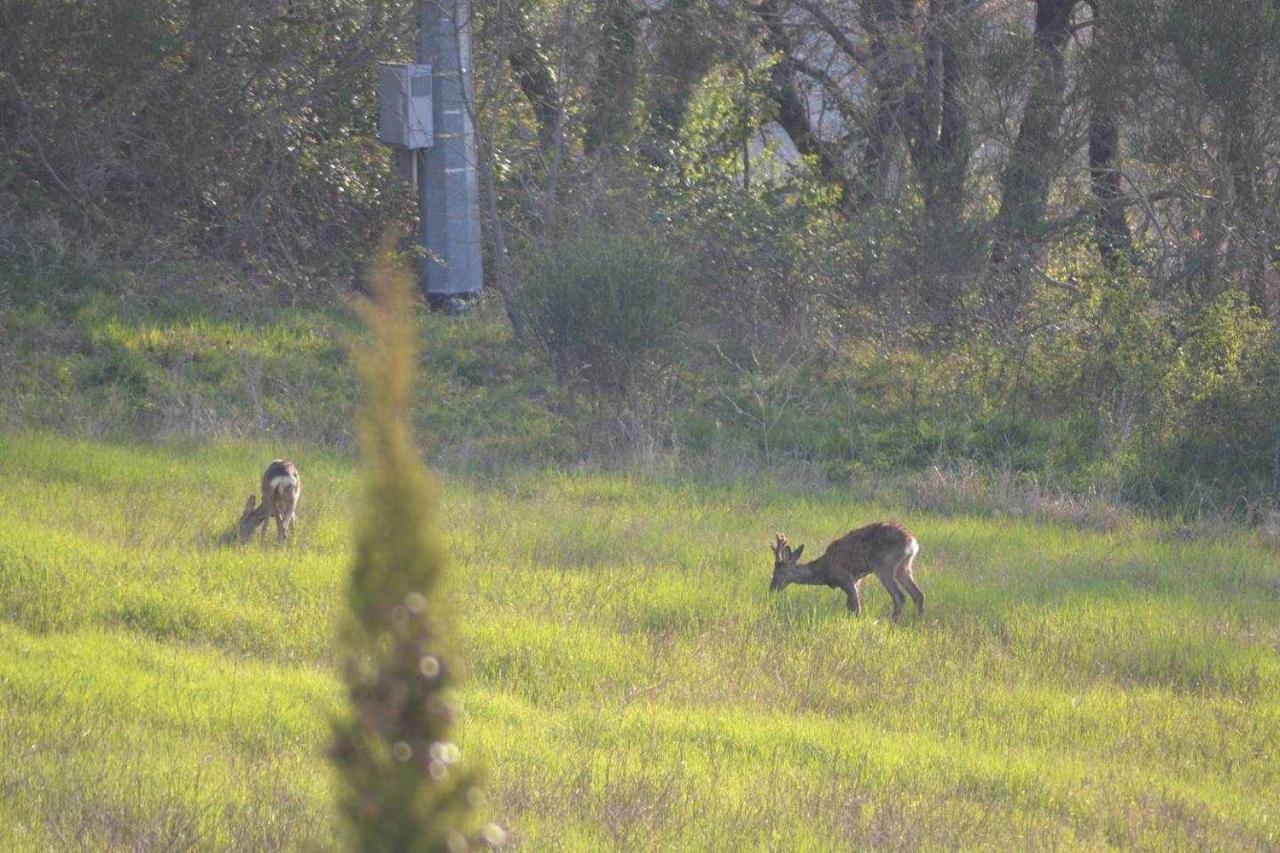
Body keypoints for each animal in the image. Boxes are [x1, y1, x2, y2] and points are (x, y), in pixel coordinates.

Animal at [768, 522, 921, 622]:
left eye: (777, 572)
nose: (771, 589)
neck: (824, 571)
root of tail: (912, 542)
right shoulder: (856, 580)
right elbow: (850, 607)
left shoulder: (846, 579)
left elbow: (856, 608)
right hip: (904, 567)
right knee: (918, 594)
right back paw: (918, 621)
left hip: (884, 566)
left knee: (899, 596)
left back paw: (893, 623)